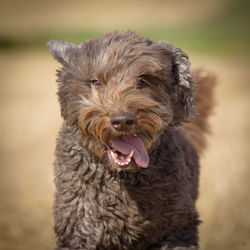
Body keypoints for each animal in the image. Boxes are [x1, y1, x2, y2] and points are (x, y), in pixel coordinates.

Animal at [47, 30, 216, 249]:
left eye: (143, 80)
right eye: (96, 82)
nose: (122, 120)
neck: (122, 179)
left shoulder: (177, 230)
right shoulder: (79, 232)